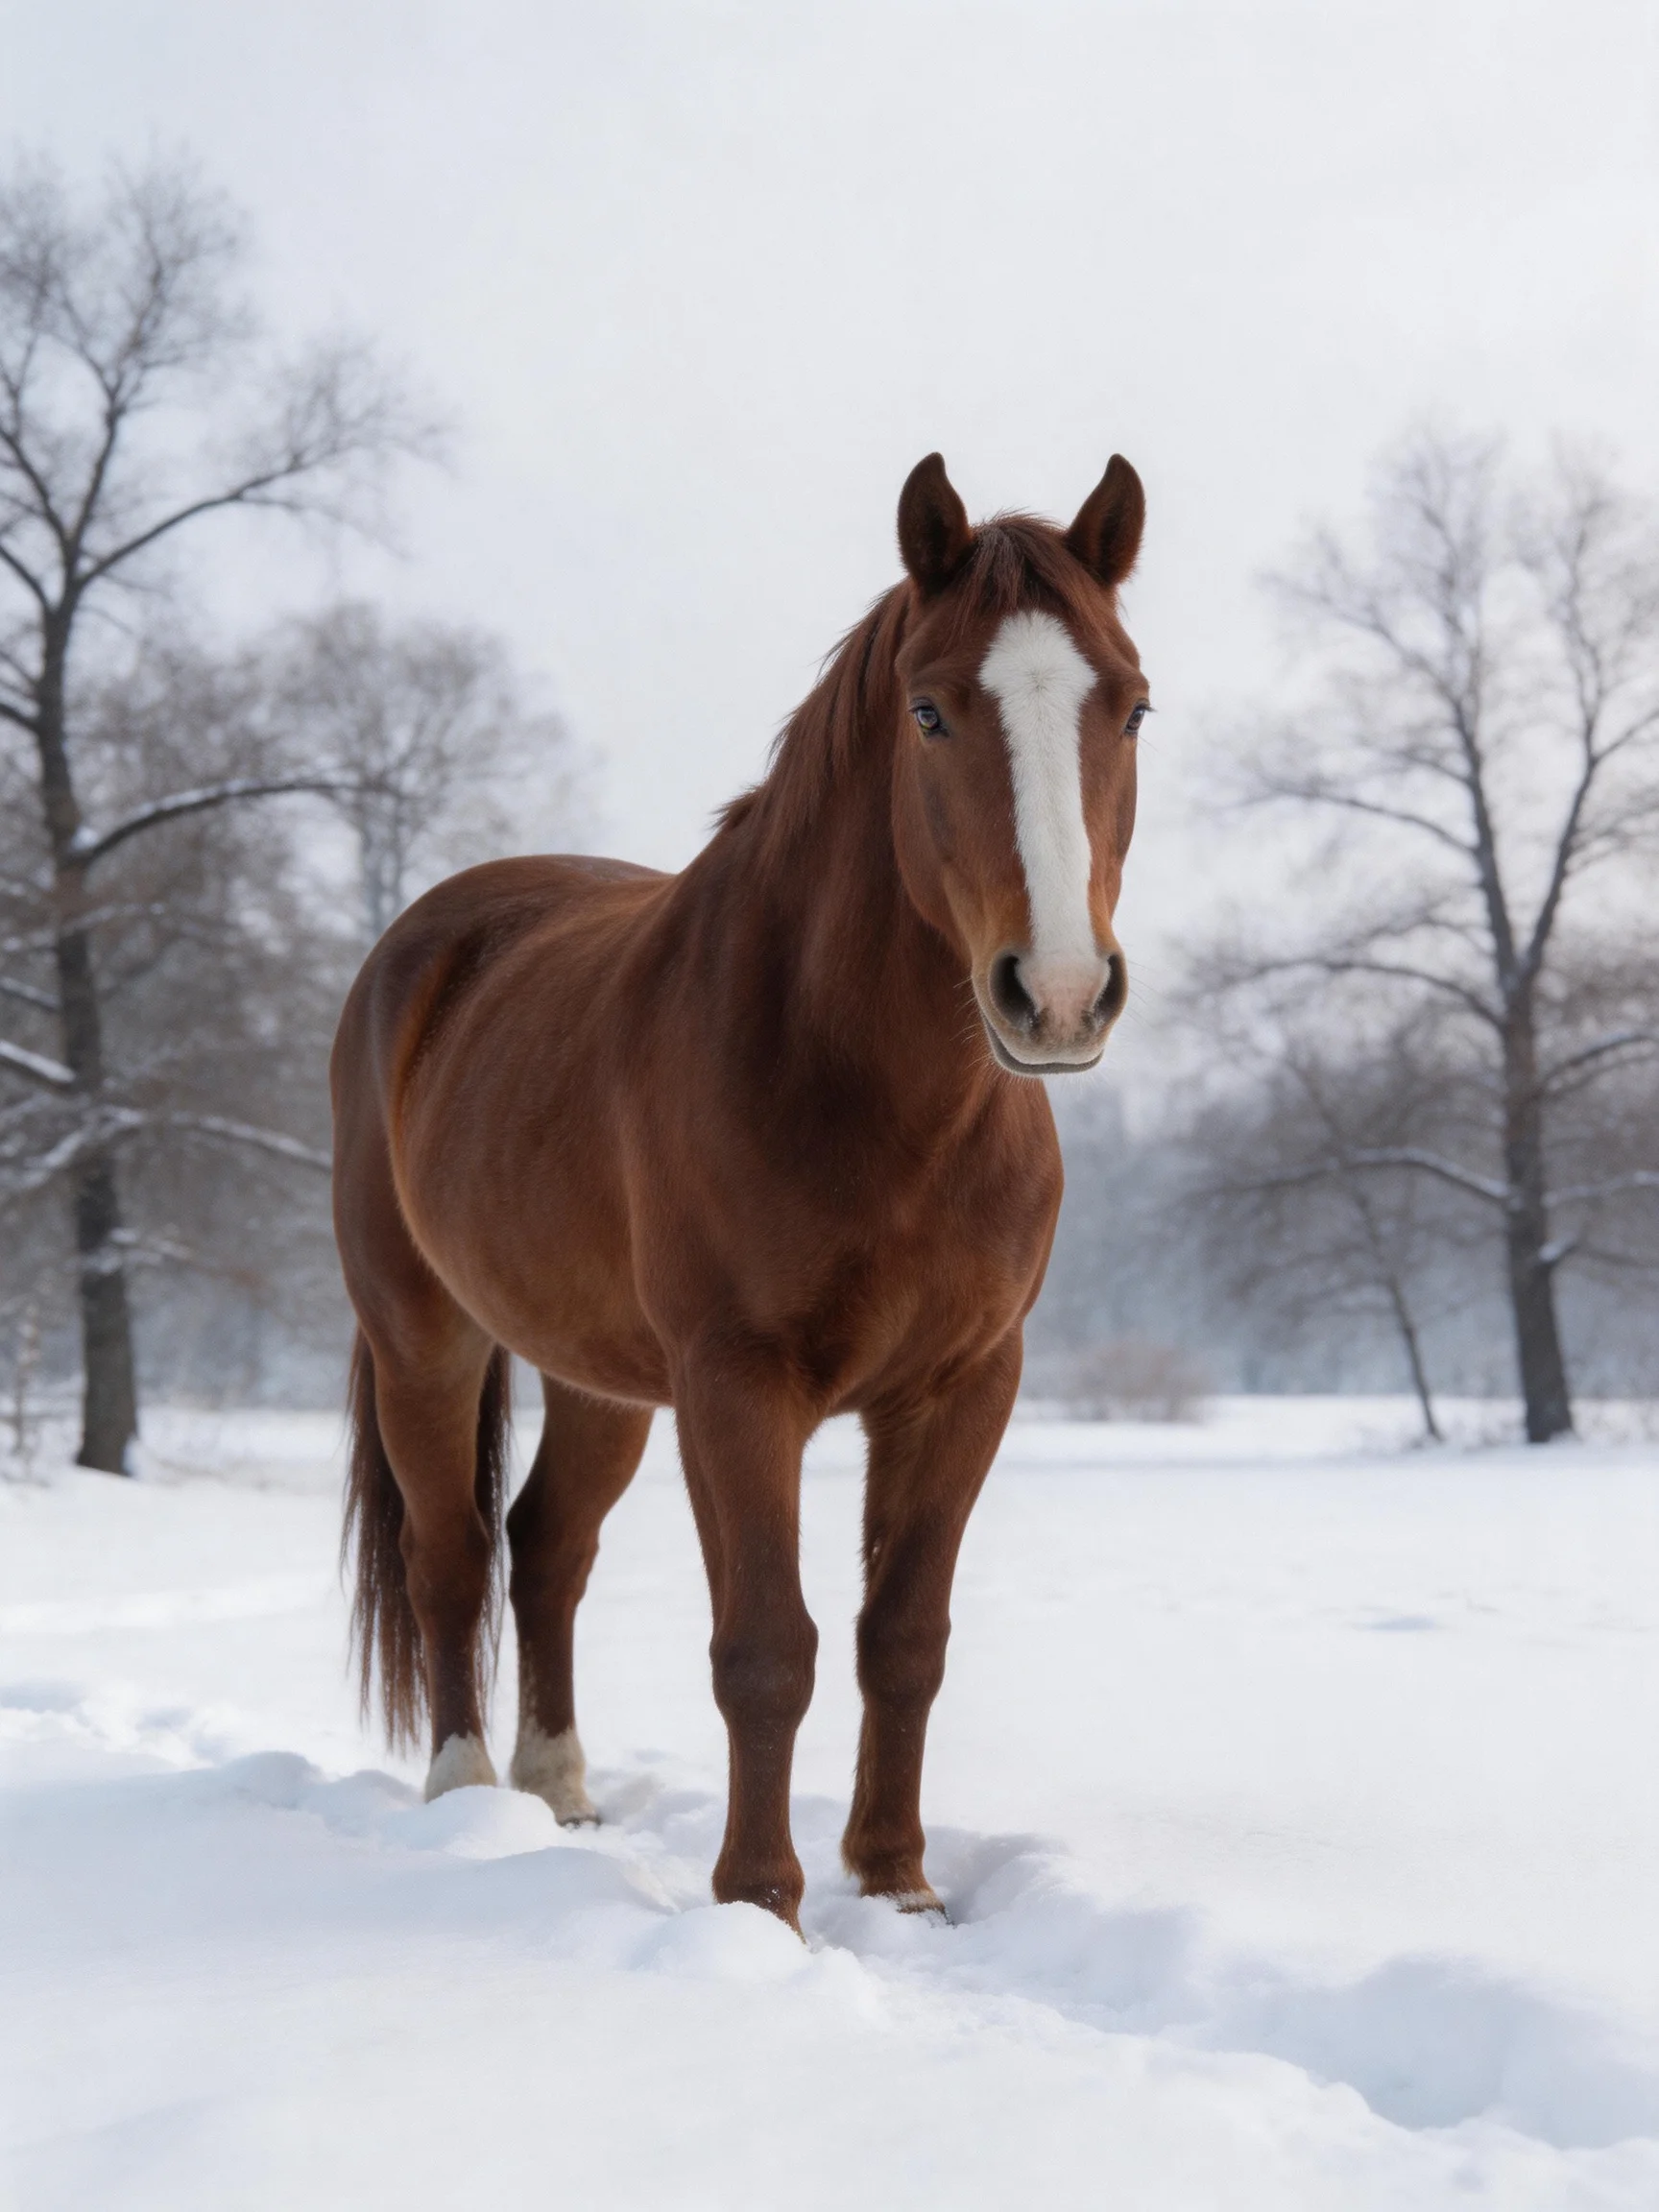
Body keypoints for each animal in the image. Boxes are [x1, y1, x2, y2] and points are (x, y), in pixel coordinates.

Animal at [332, 450, 1149, 1928]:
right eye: (930, 709)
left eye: (1132, 704)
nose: (1058, 995)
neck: (870, 1089)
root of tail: (420, 949)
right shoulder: (736, 1385)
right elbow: (768, 1646)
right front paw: (762, 1903)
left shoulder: (965, 1387)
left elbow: (903, 1638)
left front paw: (898, 1884)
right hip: (426, 1339)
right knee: (449, 1557)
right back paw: (466, 1801)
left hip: (599, 1380)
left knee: (546, 1546)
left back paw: (561, 1791)